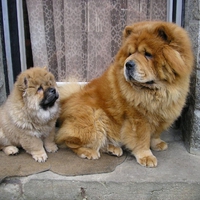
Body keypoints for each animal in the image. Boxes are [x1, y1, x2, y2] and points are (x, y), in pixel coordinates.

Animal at [56, 21, 194, 166]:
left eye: (147, 54)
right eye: (130, 53)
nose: (128, 64)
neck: (157, 91)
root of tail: (67, 100)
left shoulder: (161, 114)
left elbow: (156, 132)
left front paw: (157, 144)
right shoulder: (138, 118)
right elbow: (142, 138)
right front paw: (146, 156)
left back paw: (112, 148)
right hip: (96, 118)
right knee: (69, 141)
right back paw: (89, 152)